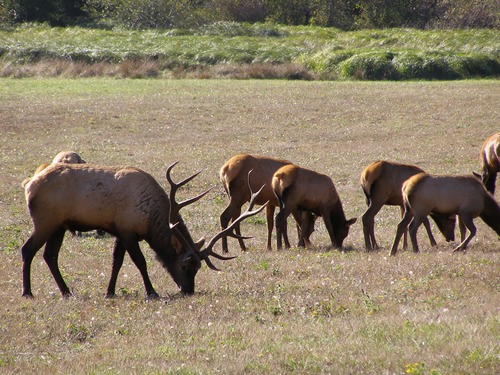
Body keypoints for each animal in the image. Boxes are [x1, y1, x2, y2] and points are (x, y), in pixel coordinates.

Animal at [21, 162, 268, 300]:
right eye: (185, 265)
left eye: (198, 267)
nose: (188, 290)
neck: (150, 219)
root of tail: (28, 185)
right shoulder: (128, 231)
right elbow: (140, 262)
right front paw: (152, 291)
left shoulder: (120, 231)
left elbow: (116, 262)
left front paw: (109, 291)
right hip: (45, 221)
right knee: (27, 250)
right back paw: (28, 292)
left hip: (59, 226)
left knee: (50, 255)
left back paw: (66, 291)